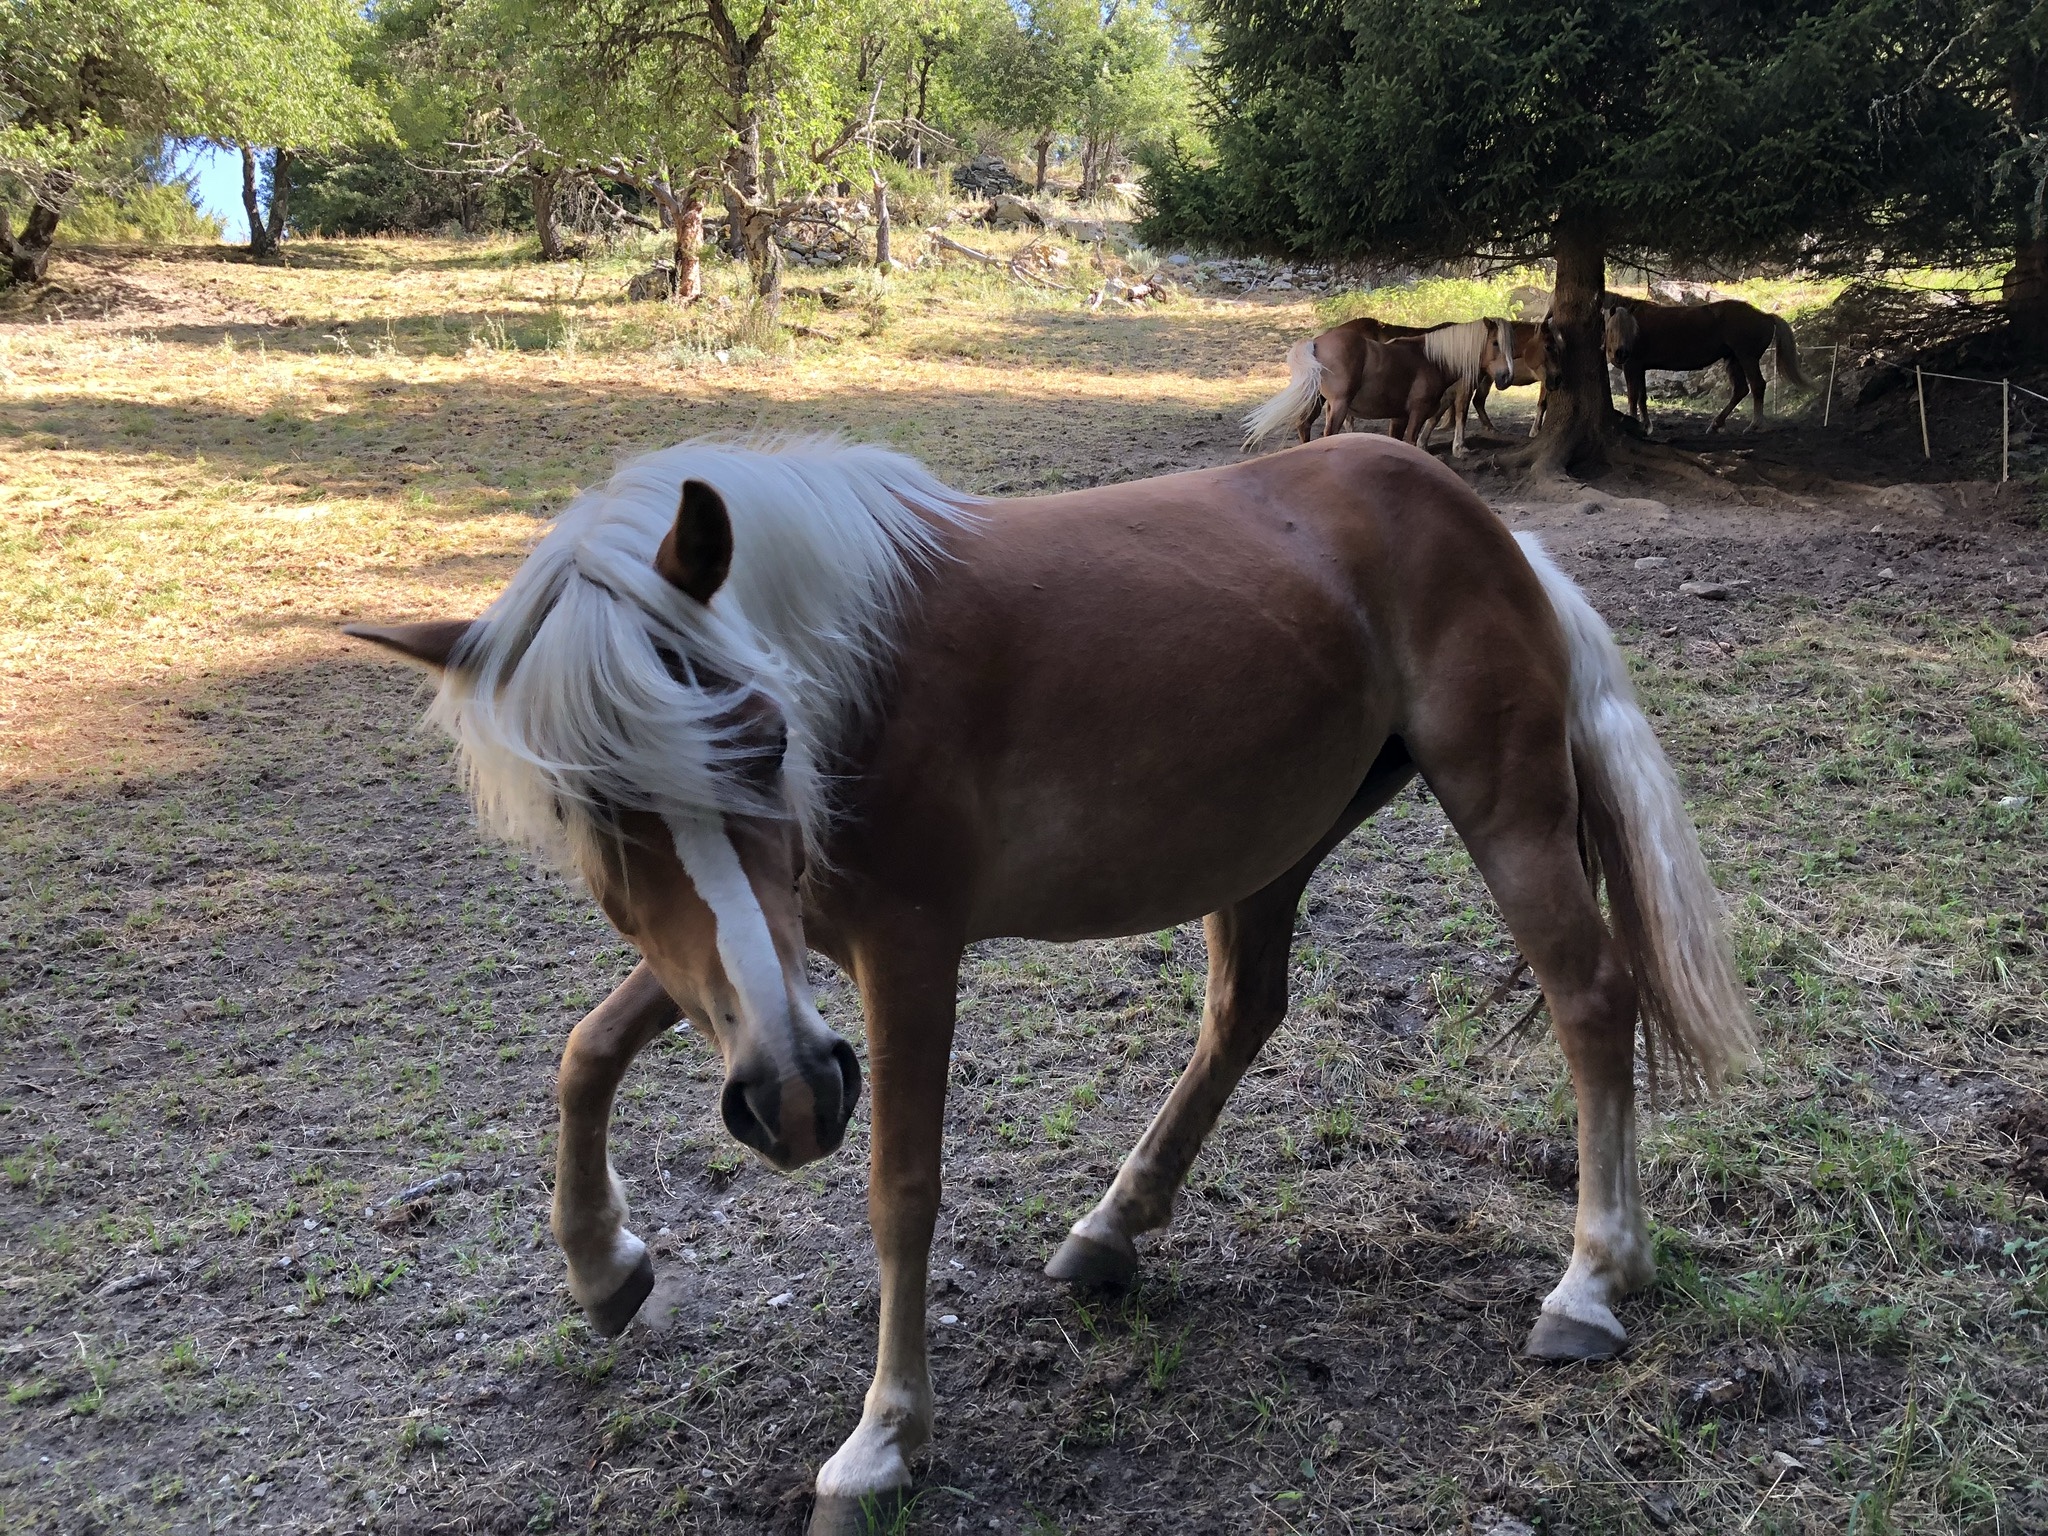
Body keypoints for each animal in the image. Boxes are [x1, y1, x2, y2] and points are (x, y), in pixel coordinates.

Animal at [344, 435, 1754, 1535]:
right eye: (591, 810)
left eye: (759, 739)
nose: (790, 1103)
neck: (849, 668)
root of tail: (1489, 529)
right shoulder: (772, 963)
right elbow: (585, 1051)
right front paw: (602, 1267)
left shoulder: (900, 953)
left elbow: (900, 1187)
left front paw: (883, 1442)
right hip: (1270, 844)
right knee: (1244, 1013)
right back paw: (1109, 1230)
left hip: (1502, 811)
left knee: (1589, 996)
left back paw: (1590, 1284)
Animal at [1244, 316, 1516, 456]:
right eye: (1495, 343)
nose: (1506, 377)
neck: (1431, 358)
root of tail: (1317, 341)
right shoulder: (1417, 413)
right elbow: (1411, 441)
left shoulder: (1399, 417)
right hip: (1338, 405)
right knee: (1327, 433)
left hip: (1317, 401)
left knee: (1304, 426)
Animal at [1601, 296, 1810, 433]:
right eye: (1611, 329)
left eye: (1628, 328)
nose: (1621, 353)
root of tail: (1766, 316)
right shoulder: (1640, 368)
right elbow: (1642, 398)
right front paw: (1646, 425)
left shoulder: (1632, 367)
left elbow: (1633, 397)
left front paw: (1634, 423)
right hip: (1733, 360)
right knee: (1741, 390)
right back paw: (1717, 424)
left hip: (1747, 358)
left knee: (1757, 385)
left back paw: (1755, 425)